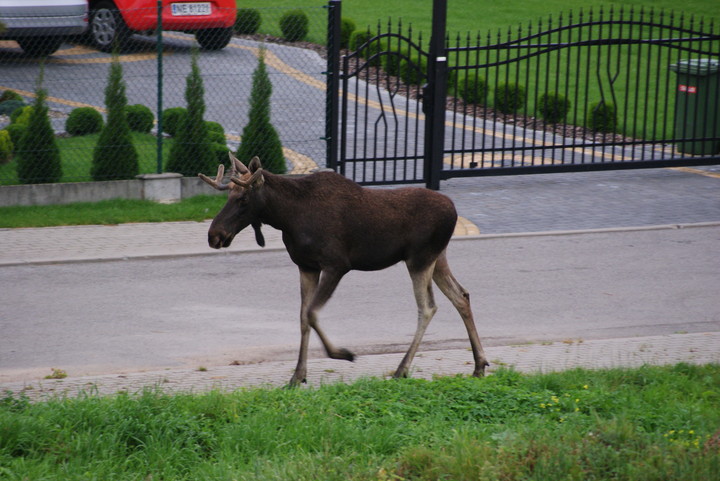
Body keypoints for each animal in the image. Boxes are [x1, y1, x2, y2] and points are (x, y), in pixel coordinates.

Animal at [200, 154, 486, 386]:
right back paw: (479, 365)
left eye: (243, 198)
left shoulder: (337, 265)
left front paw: (343, 354)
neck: (288, 218)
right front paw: (297, 376)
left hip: (419, 258)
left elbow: (312, 314)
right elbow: (302, 317)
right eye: (227, 196)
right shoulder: (306, 266)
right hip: (437, 258)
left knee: (428, 307)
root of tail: (454, 210)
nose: (214, 235)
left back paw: (401, 369)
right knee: (461, 295)